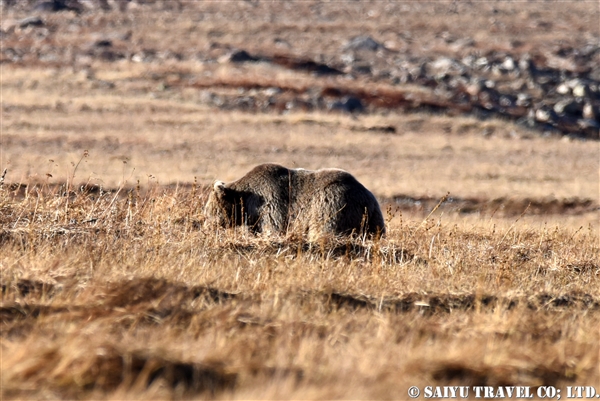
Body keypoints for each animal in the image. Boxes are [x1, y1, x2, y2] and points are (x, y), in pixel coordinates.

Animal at [204, 162, 386, 238]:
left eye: (207, 212)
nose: (206, 227)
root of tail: (368, 199)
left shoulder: (271, 205)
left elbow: (273, 227)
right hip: (373, 219)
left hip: (333, 206)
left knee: (324, 227)